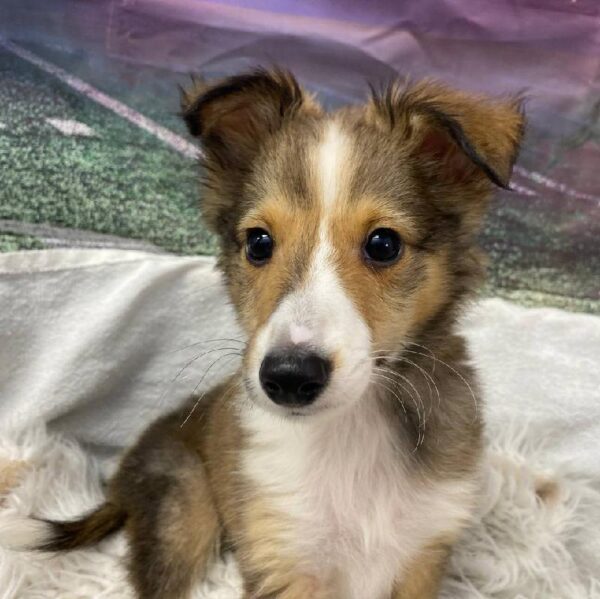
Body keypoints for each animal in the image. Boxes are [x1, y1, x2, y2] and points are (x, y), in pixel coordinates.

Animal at [4, 69, 524, 599]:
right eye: (258, 242)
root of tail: (117, 485)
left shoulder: (423, 551)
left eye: (383, 244)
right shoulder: (282, 555)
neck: (351, 430)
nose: (289, 378)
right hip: (183, 505)